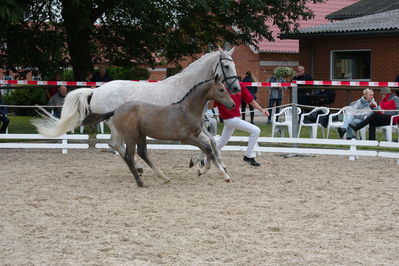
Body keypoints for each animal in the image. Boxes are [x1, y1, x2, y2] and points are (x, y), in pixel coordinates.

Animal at [32, 48, 239, 170]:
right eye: (226, 65)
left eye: (234, 64)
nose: (236, 88)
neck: (186, 90)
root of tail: (96, 91)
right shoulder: (186, 128)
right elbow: (208, 141)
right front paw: (201, 162)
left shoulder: (198, 124)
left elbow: (212, 140)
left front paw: (214, 163)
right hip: (114, 124)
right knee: (114, 144)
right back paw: (138, 166)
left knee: (116, 144)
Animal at [83, 76, 236, 186]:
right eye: (221, 89)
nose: (233, 104)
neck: (187, 110)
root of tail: (117, 109)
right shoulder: (186, 138)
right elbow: (207, 147)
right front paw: (225, 176)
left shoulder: (196, 136)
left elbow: (208, 146)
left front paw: (201, 169)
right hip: (131, 136)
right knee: (129, 156)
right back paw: (140, 181)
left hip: (141, 135)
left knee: (142, 153)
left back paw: (164, 177)